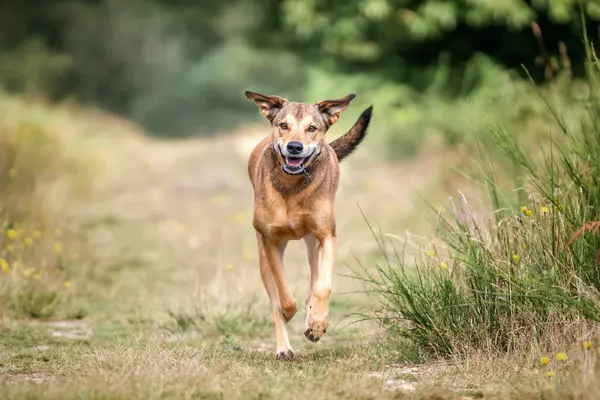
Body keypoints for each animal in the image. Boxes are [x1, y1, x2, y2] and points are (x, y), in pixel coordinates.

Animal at [246, 90, 372, 360]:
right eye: (284, 125)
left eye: (312, 128)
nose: (295, 147)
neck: (292, 185)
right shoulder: (271, 241)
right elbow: (283, 293)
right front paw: (288, 314)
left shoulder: (327, 236)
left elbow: (322, 286)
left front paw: (317, 323)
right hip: (262, 256)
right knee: (274, 297)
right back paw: (284, 347)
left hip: (313, 245)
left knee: (314, 279)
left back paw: (312, 319)